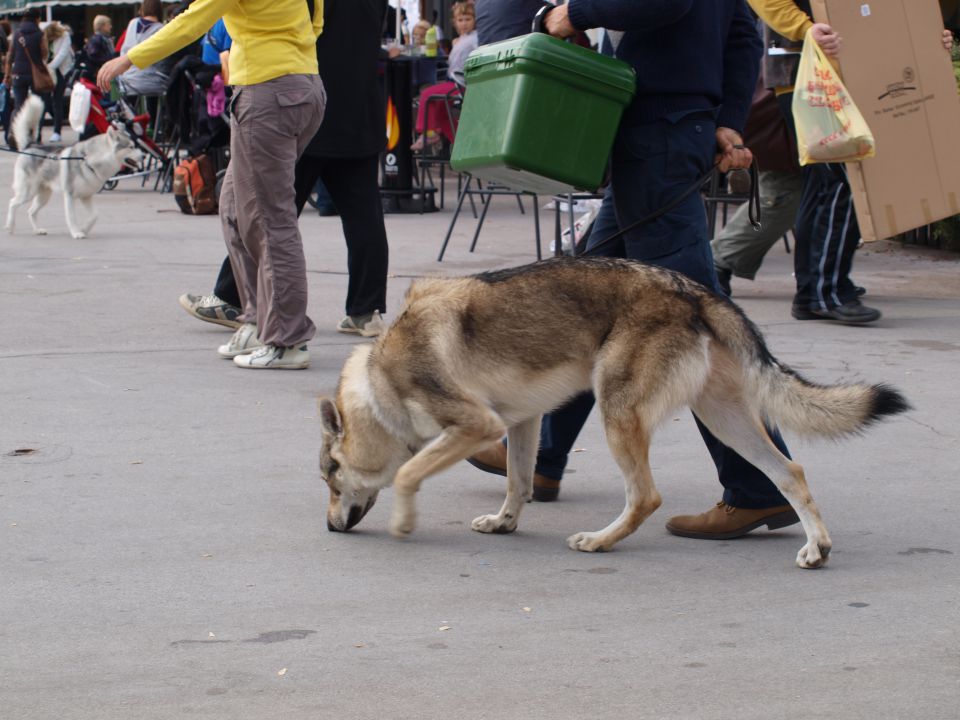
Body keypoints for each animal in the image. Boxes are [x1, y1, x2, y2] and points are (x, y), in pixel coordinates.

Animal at [5, 93, 142, 238]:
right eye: (131, 147)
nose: (144, 156)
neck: (90, 160)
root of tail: (30, 146)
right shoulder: (69, 195)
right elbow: (71, 217)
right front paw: (76, 232)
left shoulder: (86, 196)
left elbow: (95, 216)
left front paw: (84, 229)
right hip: (28, 192)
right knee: (12, 203)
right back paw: (10, 226)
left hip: (43, 196)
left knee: (31, 211)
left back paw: (37, 230)